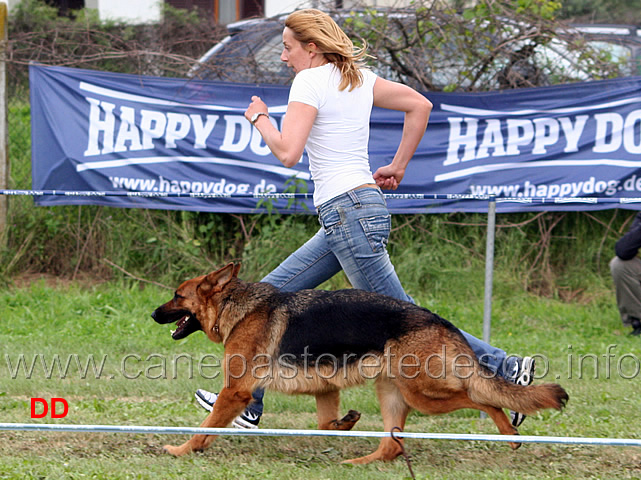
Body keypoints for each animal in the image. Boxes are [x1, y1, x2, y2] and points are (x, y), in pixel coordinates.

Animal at [152, 262, 568, 464]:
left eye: (177, 295)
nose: (153, 314)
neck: (236, 308)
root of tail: (440, 321)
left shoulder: (235, 391)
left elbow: (205, 427)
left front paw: (183, 450)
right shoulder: (325, 389)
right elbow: (324, 424)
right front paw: (344, 423)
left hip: (422, 394)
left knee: (482, 397)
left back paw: (509, 431)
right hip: (392, 392)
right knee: (393, 446)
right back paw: (359, 463)